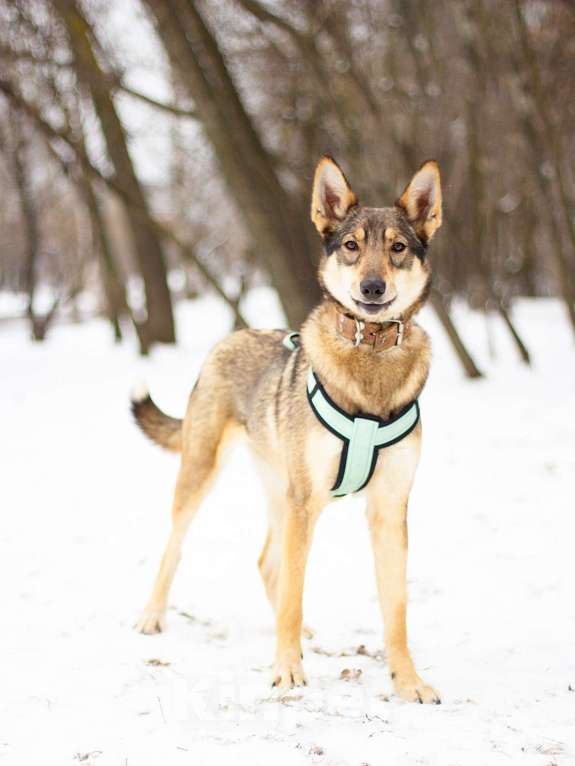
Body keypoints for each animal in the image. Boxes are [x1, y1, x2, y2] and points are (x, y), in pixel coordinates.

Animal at [133, 158, 444, 708]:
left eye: (398, 248)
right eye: (351, 245)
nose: (372, 288)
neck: (369, 355)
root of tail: (231, 335)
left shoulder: (389, 509)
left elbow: (396, 610)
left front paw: (408, 682)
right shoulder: (306, 502)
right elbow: (296, 593)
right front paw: (287, 670)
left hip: (282, 492)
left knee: (267, 563)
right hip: (211, 475)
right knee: (178, 545)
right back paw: (154, 616)